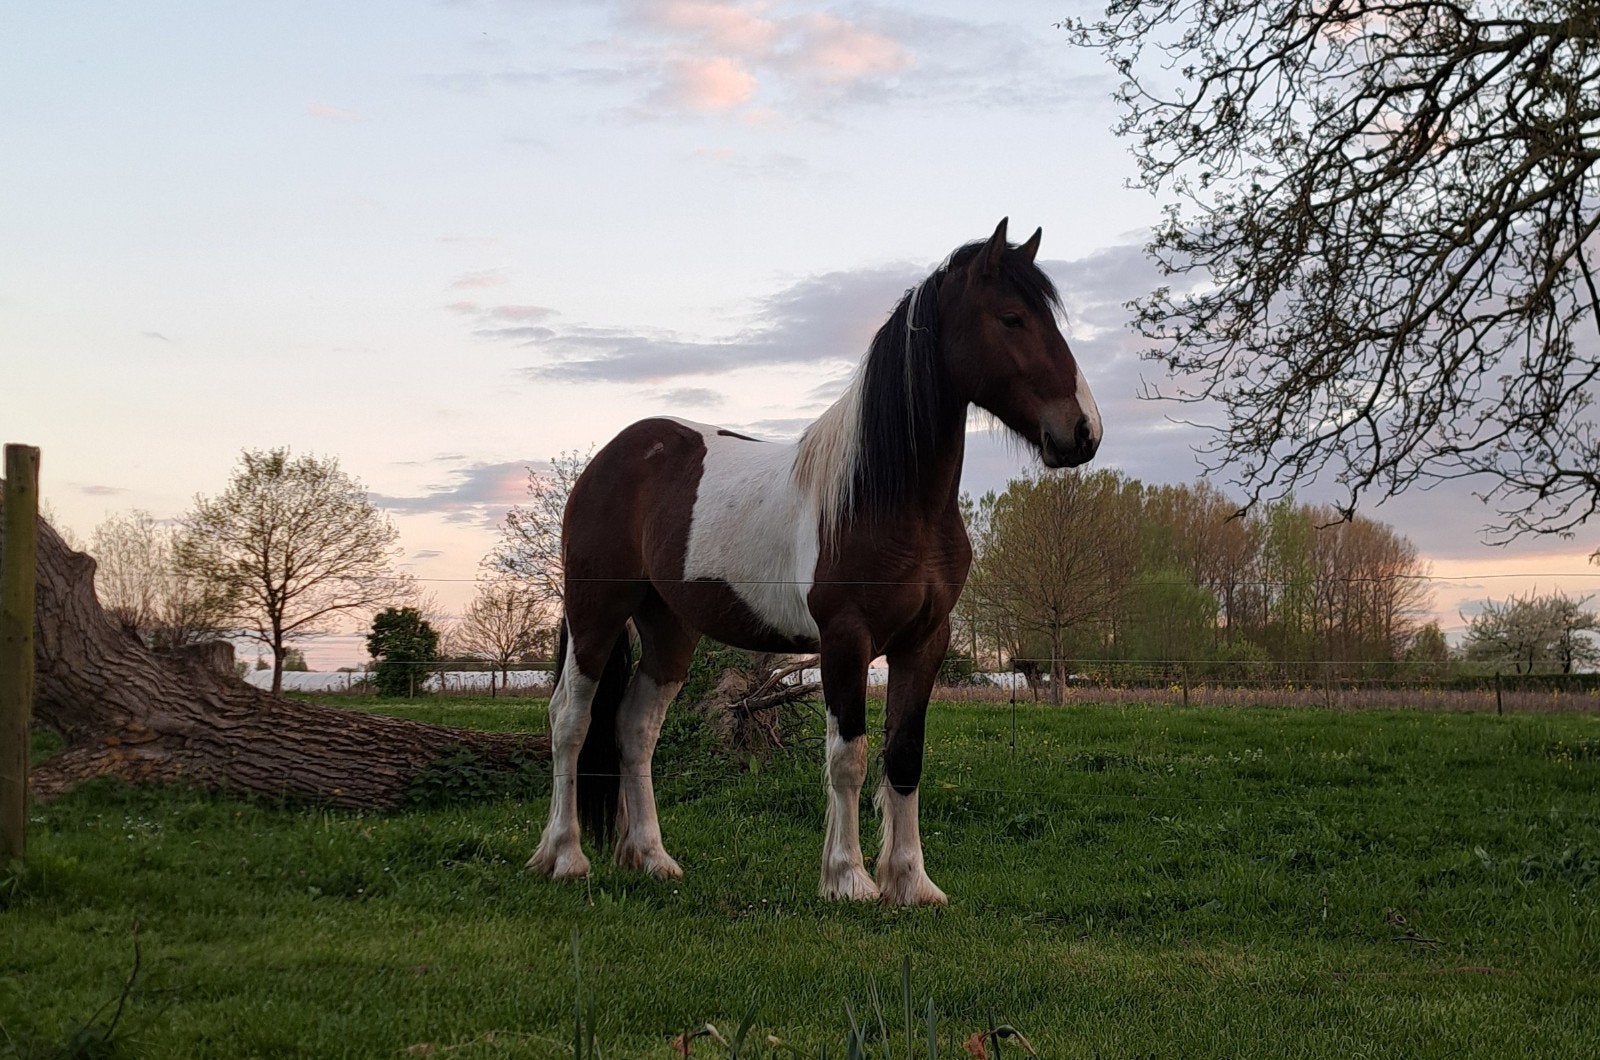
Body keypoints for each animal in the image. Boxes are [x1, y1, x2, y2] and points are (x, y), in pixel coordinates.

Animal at [528, 219, 1101, 905]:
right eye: (1012, 318)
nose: (1083, 432)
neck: (884, 498)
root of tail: (611, 458)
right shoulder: (846, 639)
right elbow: (847, 756)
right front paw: (849, 878)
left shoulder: (924, 641)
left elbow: (904, 754)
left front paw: (912, 883)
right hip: (596, 612)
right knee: (570, 719)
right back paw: (565, 856)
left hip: (669, 628)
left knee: (635, 728)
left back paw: (652, 858)